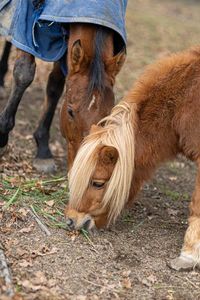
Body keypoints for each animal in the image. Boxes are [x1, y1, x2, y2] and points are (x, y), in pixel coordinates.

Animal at [0, 24, 126, 171]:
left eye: (107, 116)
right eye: (70, 112)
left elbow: (55, 86)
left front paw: (43, 150)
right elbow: (24, 74)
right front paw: (2, 137)